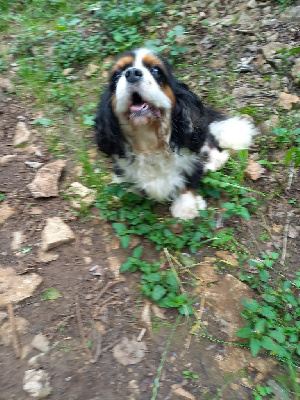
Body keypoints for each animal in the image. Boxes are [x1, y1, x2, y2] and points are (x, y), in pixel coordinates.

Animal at [94, 49, 258, 222]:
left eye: (156, 70)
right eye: (116, 75)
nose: (132, 73)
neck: (148, 139)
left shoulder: (189, 160)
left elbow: (188, 180)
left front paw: (186, 207)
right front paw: (127, 191)